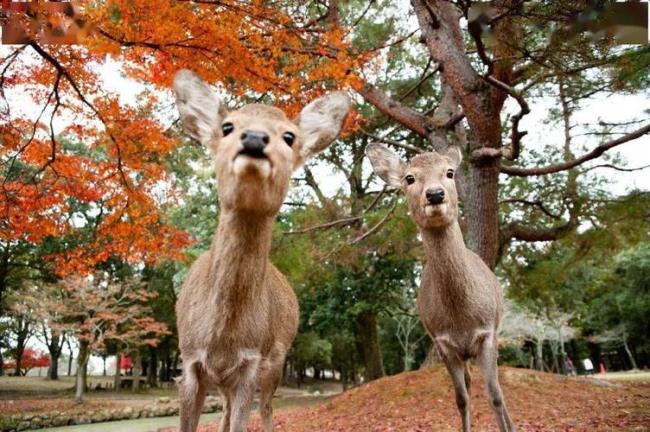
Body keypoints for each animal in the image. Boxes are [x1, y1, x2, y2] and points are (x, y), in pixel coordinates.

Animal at [170, 69, 350, 430]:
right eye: (227, 126)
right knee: (225, 411)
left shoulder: (251, 364)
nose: (254, 137)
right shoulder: (189, 359)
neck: (223, 336)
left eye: (289, 136)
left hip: (277, 363)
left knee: (267, 408)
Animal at [364, 144, 512, 432]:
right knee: (468, 384)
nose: (434, 194)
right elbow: (461, 399)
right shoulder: (442, 342)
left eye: (450, 172)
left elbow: (497, 396)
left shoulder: (487, 332)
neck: (461, 318)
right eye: (409, 178)